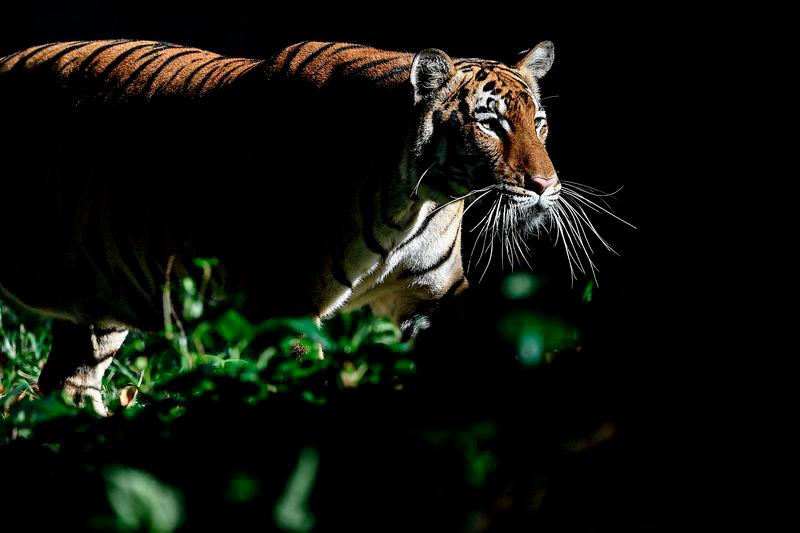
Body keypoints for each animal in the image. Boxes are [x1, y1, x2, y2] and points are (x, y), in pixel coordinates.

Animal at [0, 39, 559, 415]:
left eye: (540, 123)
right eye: (489, 123)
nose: (545, 185)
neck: (413, 205)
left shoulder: (430, 299)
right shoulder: (285, 307)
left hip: (94, 315)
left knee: (65, 388)